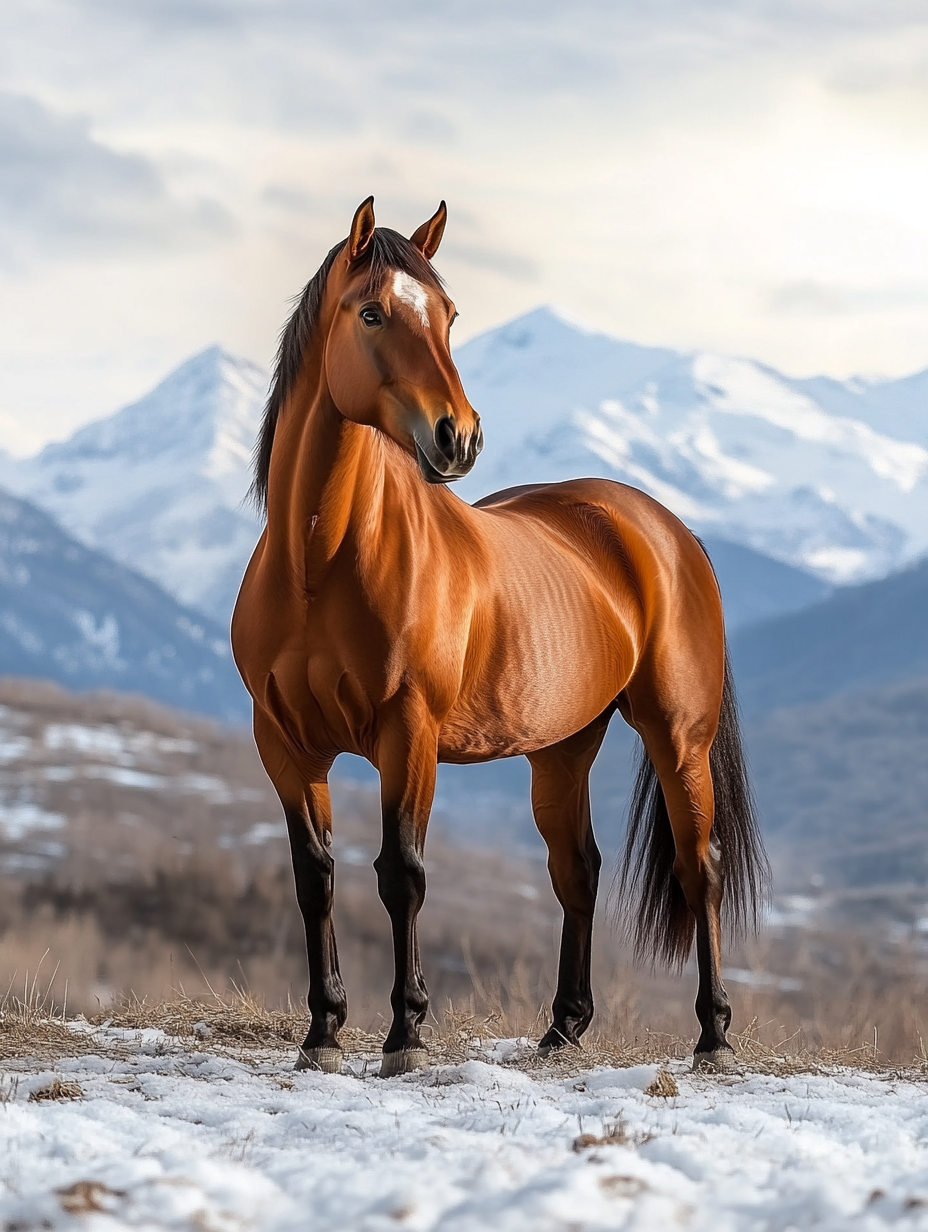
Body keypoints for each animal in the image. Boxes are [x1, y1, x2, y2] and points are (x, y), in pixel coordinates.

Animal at [231, 196, 769, 1076]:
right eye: (371, 312)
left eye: (448, 315)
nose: (459, 437)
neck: (320, 562)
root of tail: (664, 528)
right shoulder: (283, 743)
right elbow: (315, 877)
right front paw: (322, 1034)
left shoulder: (407, 733)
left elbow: (402, 874)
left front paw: (406, 1035)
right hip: (563, 746)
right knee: (576, 869)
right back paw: (562, 1029)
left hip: (678, 734)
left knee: (702, 870)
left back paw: (714, 1037)